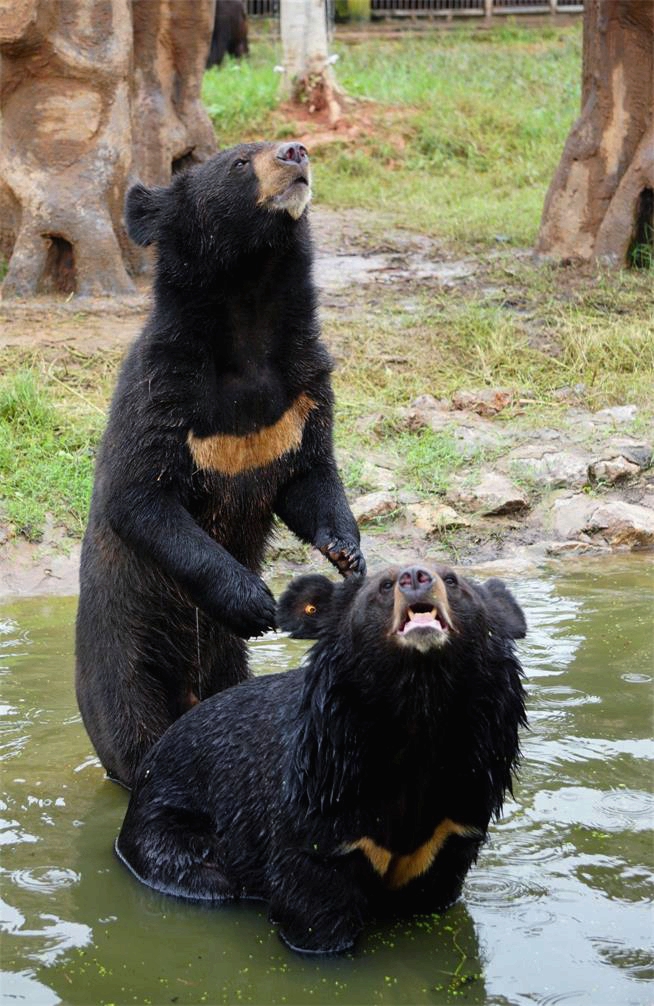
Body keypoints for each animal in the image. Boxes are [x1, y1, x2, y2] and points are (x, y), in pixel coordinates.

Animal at [75, 140, 364, 790]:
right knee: (131, 735)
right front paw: (252, 600)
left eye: (280, 143)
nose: (296, 150)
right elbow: (142, 497)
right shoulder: (163, 389)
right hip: (123, 657)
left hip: (229, 665)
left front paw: (345, 552)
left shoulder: (300, 392)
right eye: (238, 161)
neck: (248, 308)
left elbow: (308, 474)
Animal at [114, 561, 527, 955]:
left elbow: (435, 890)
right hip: (169, 829)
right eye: (383, 586)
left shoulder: (458, 810)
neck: (419, 712)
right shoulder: (320, 805)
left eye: (453, 580)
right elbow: (313, 904)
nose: (416, 577)